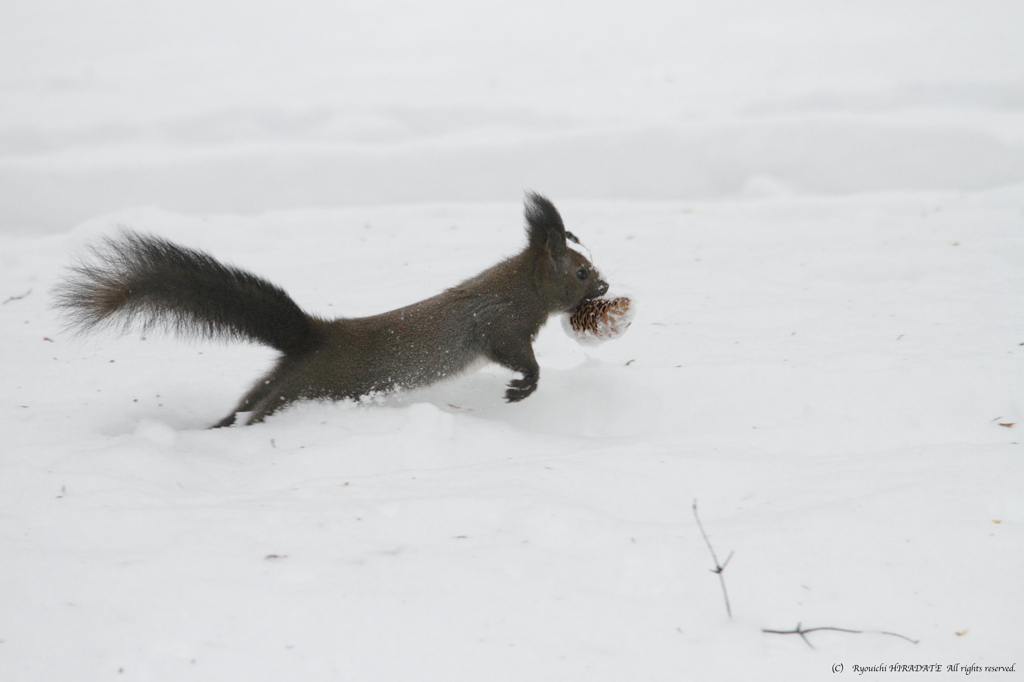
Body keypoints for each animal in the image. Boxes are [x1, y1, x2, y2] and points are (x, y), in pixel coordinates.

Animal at [56, 192, 606, 425]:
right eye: (580, 272)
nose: (603, 285)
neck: (521, 288)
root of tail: (312, 336)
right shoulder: (500, 325)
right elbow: (518, 357)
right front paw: (523, 387)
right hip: (308, 387)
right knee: (263, 408)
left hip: (283, 376)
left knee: (248, 400)